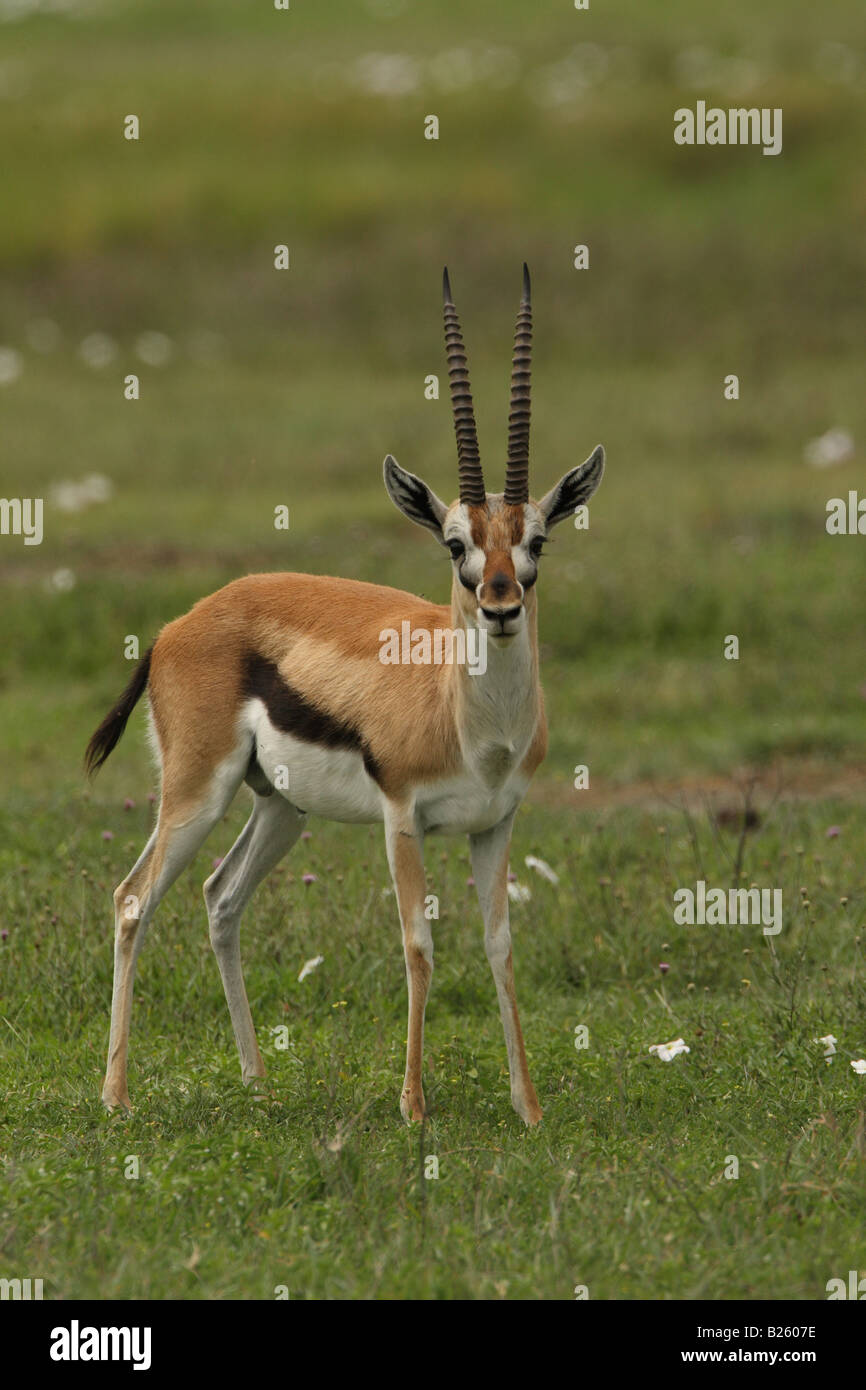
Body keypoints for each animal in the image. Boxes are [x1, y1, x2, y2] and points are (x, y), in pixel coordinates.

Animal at [86, 265, 605, 1126]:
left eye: (537, 540)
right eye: (455, 543)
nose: (500, 606)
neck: (472, 725)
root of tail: (175, 626)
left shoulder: (495, 824)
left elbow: (500, 947)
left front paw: (528, 1108)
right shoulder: (402, 819)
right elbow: (418, 946)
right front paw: (413, 1107)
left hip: (279, 808)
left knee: (221, 899)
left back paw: (257, 1081)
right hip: (198, 792)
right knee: (133, 900)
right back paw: (117, 1097)